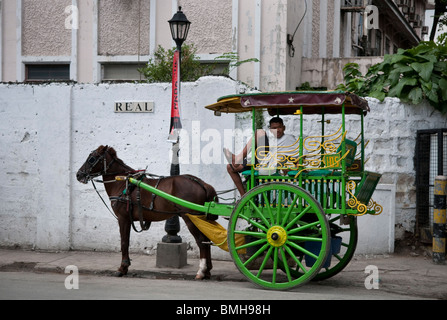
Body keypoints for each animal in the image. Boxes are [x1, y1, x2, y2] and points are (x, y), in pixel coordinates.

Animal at [75, 144, 219, 278]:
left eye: (92, 158)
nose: (78, 174)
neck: (122, 182)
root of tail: (202, 183)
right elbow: (125, 242)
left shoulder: (123, 218)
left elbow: (124, 242)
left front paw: (123, 268)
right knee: (207, 240)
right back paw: (208, 271)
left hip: (191, 218)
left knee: (201, 241)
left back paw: (201, 271)